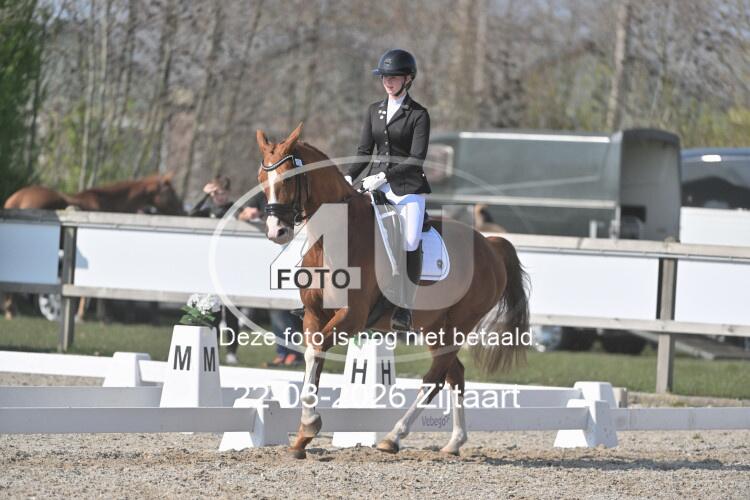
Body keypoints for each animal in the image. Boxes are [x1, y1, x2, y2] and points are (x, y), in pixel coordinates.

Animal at [2, 173, 183, 320]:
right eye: (172, 192)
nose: (183, 211)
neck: (108, 205)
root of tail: (16, 199)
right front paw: (91, 315)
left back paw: (11, 310)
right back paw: (11, 310)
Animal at [256, 123, 529, 459]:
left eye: (288, 178)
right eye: (261, 179)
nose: (276, 231)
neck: (335, 237)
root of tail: (490, 245)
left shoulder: (353, 317)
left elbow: (316, 350)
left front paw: (309, 426)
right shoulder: (313, 314)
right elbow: (312, 357)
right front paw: (301, 438)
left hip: (459, 325)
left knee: (435, 378)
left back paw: (393, 437)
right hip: (434, 328)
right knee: (455, 375)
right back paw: (453, 443)